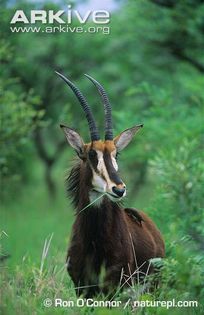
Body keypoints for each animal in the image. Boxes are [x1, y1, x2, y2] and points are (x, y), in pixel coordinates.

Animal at [56, 71, 165, 298]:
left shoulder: (116, 287)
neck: (94, 239)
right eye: (91, 154)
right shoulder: (82, 288)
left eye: (116, 154)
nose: (119, 189)